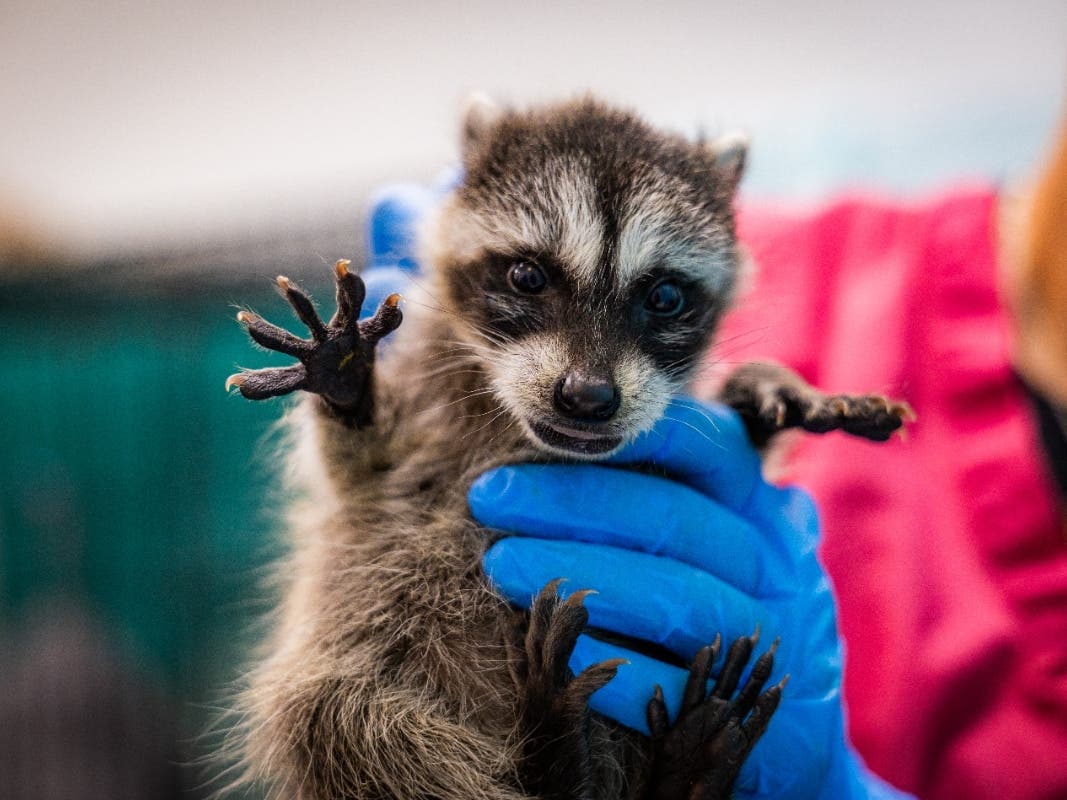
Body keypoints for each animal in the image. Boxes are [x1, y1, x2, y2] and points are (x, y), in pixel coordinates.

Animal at [226, 97, 909, 800]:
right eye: (528, 276)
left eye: (665, 296)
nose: (587, 396)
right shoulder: (414, 432)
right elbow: (361, 468)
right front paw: (345, 381)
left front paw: (769, 388)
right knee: (332, 718)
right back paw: (553, 755)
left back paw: (674, 769)